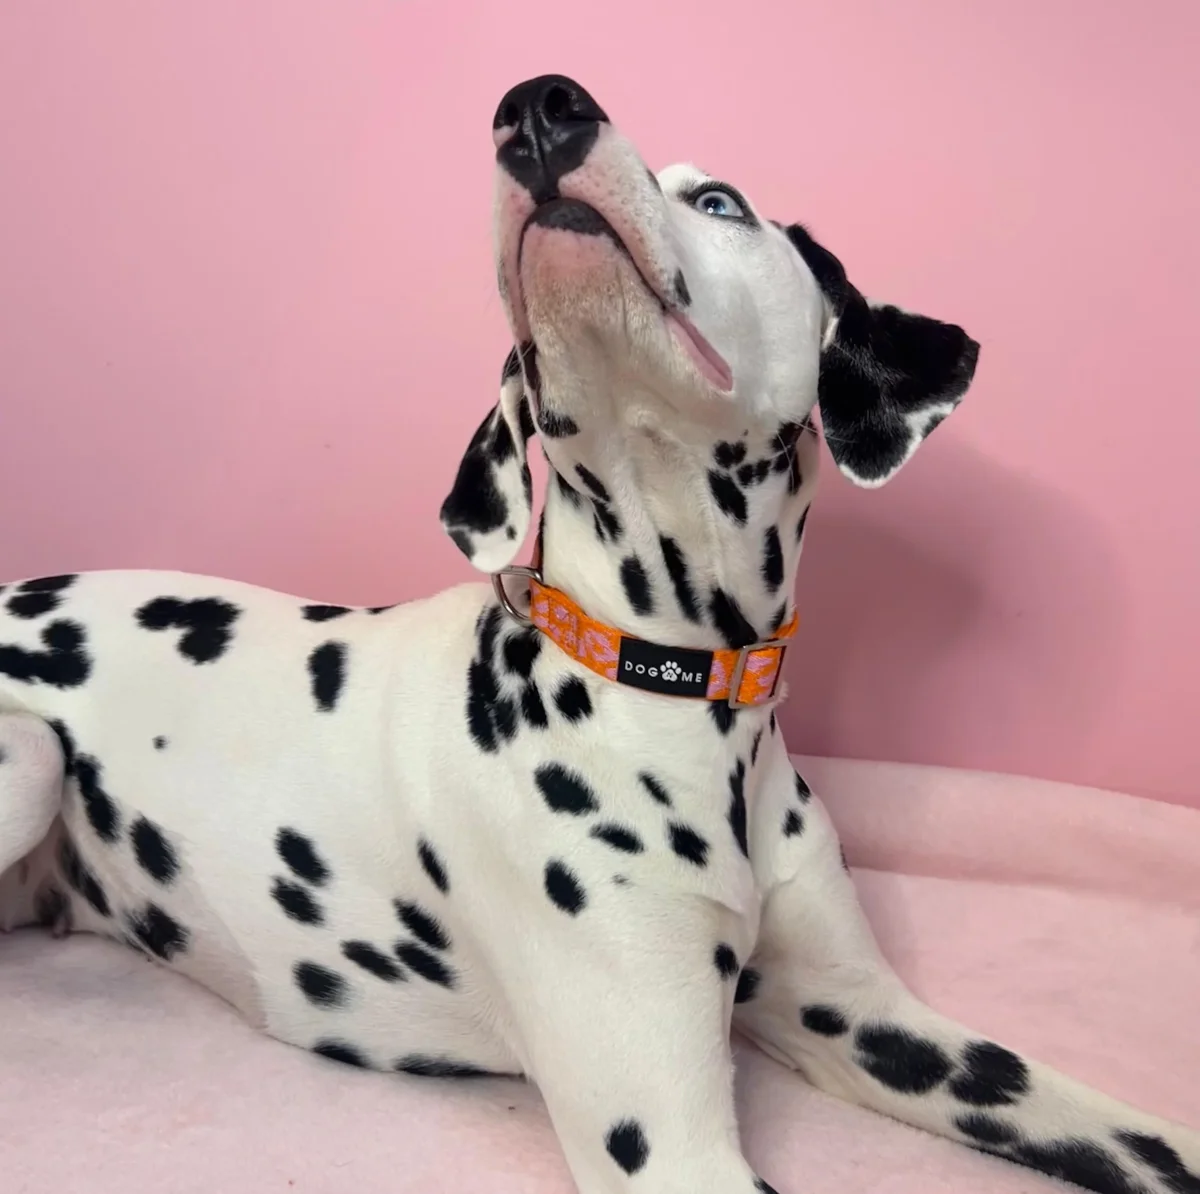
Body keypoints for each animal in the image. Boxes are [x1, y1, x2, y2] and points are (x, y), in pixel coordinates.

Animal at [1, 73, 1196, 1194]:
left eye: (719, 202)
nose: (539, 107)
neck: (671, 689)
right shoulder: (670, 1149)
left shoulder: (875, 1021)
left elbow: (1140, 1136)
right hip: (31, 758)